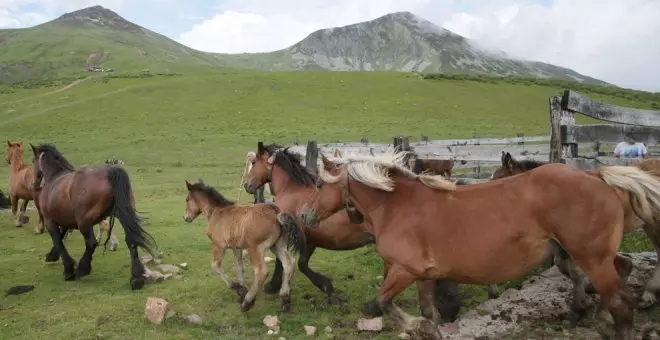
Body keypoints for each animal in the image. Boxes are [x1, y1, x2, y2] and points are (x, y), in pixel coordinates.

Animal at [31, 143, 157, 290]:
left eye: (33, 161)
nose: (34, 184)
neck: (55, 177)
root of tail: (111, 172)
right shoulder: (66, 220)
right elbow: (62, 237)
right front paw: (52, 256)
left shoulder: (50, 221)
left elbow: (58, 241)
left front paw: (68, 270)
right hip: (121, 215)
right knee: (131, 239)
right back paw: (136, 278)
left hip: (84, 222)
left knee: (91, 243)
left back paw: (82, 269)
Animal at [180, 179, 304, 312]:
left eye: (187, 199)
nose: (185, 217)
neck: (217, 211)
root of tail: (276, 212)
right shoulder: (236, 247)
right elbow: (239, 266)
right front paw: (242, 289)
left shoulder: (219, 245)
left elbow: (215, 266)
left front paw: (235, 287)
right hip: (277, 245)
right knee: (289, 263)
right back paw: (285, 299)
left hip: (254, 249)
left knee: (261, 272)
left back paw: (247, 303)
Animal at [242, 141, 464, 322]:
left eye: (254, 163)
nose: (247, 185)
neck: (292, 191)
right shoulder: (310, 239)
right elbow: (300, 264)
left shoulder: (296, 237)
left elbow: (292, 264)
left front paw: (319, 286)